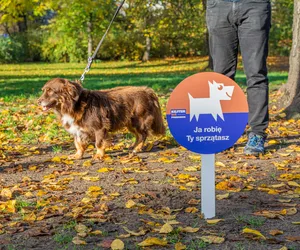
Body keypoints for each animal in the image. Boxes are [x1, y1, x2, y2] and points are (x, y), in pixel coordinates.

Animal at [37, 78, 165, 159]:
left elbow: (99, 143)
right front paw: (78, 155)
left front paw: (99, 155)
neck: (73, 106)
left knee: (143, 135)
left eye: (50, 91)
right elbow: (78, 144)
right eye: (43, 90)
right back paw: (133, 146)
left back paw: (137, 148)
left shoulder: (100, 127)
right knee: (138, 135)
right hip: (130, 123)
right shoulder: (78, 130)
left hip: (138, 121)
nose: (38, 101)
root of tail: (148, 90)